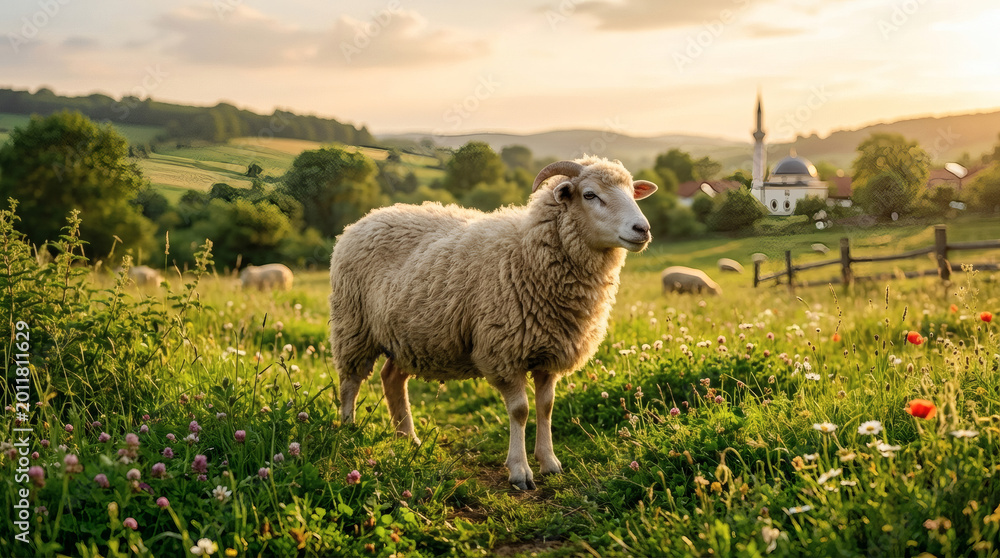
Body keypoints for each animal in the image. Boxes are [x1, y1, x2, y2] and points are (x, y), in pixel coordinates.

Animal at [329, 156, 657, 490]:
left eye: (632, 192)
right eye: (590, 195)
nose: (642, 229)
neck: (527, 252)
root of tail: (365, 219)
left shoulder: (549, 352)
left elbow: (546, 406)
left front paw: (549, 462)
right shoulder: (503, 352)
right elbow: (521, 410)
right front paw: (520, 470)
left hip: (408, 336)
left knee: (391, 379)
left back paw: (408, 439)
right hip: (353, 324)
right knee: (351, 380)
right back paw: (348, 429)